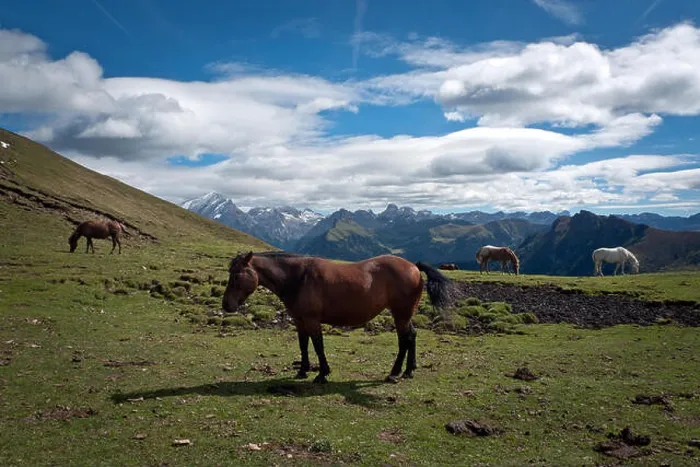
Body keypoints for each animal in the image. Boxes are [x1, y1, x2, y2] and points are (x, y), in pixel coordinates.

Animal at [222, 252, 456, 384]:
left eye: (236, 275)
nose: (226, 305)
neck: (299, 278)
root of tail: (414, 267)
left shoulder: (312, 321)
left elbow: (318, 346)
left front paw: (322, 374)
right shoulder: (300, 321)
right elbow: (303, 345)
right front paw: (303, 371)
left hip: (401, 314)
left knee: (405, 339)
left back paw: (396, 372)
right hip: (405, 315)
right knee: (412, 336)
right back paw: (409, 370)